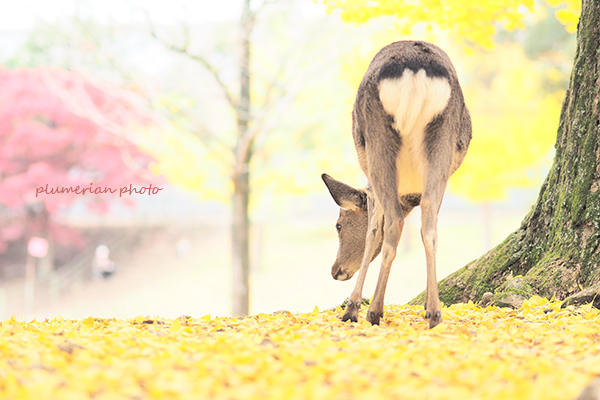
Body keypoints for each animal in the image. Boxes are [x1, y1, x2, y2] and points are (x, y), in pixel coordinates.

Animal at [322, 40, 472, 328]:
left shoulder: (371, 187)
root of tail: (416, 70)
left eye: (338, 225)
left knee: (393, 224)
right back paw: (434, 312)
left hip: (378, 145)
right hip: (442, 143)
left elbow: (372, 233)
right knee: (429, 227)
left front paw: (352, 308)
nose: (335, 271)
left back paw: (374, 310)